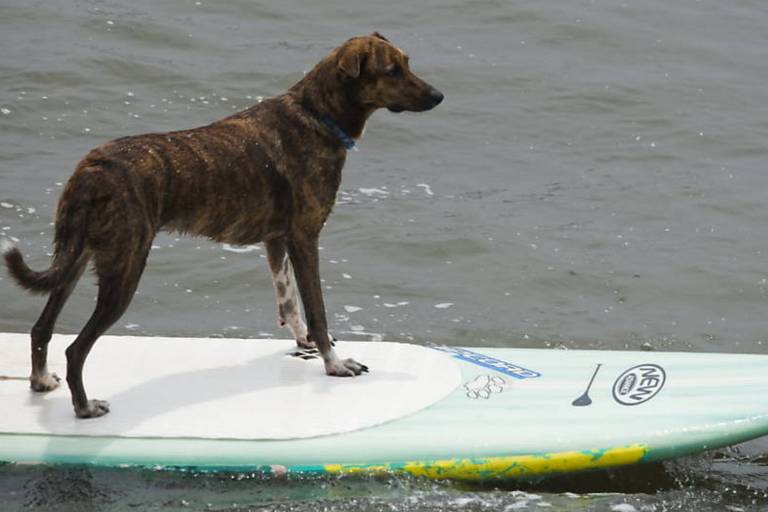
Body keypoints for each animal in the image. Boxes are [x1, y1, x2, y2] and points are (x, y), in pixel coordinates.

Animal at [3, 32, 444, 418]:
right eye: (392, 71)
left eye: (407, 62)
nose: (439, 96)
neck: (317, 113)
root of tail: (92, 168)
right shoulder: (305, 238)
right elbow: (317, 311)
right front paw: (334, 364)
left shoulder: (277, 240)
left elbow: (289, 300)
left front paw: (302, 340)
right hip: (124, 268)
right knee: (76, 349)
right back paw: (84, 408)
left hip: (79, 256)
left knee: (41, 328)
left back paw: (40, 381)